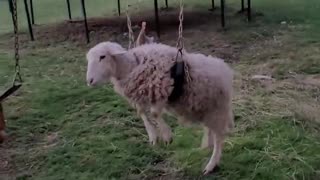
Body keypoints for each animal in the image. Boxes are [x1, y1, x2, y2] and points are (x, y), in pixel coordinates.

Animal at [86, 41, 234, 175]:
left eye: (102, 56)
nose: (89, 81)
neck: (132, 66)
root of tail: (224, 68)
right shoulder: (142, 96)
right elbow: (142, 112)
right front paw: (153, 136)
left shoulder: (161, 91)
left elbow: (154, 113)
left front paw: (167, 136)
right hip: (203, 108)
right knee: (208, 129)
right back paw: (206, 145)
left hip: (217, 110)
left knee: (219, 137)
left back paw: (211, 164)